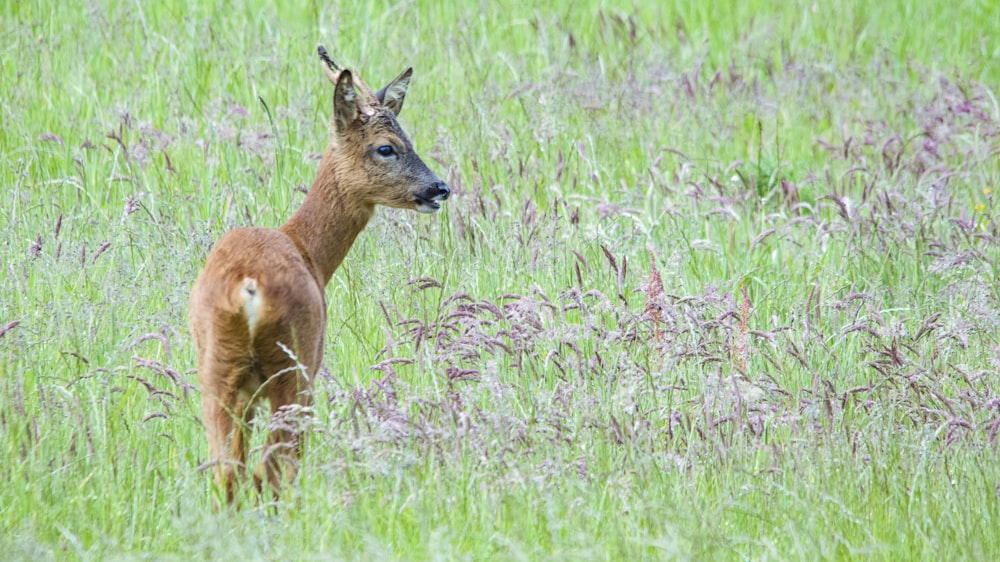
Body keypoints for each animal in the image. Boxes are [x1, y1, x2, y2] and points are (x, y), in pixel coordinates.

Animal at [189, 47, 448, 504]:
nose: (439, 188)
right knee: (272, 470)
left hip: (217, 367)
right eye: (386, 148)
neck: (309, 252)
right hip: (295, 363)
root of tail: (248, 286)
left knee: (229, 474)